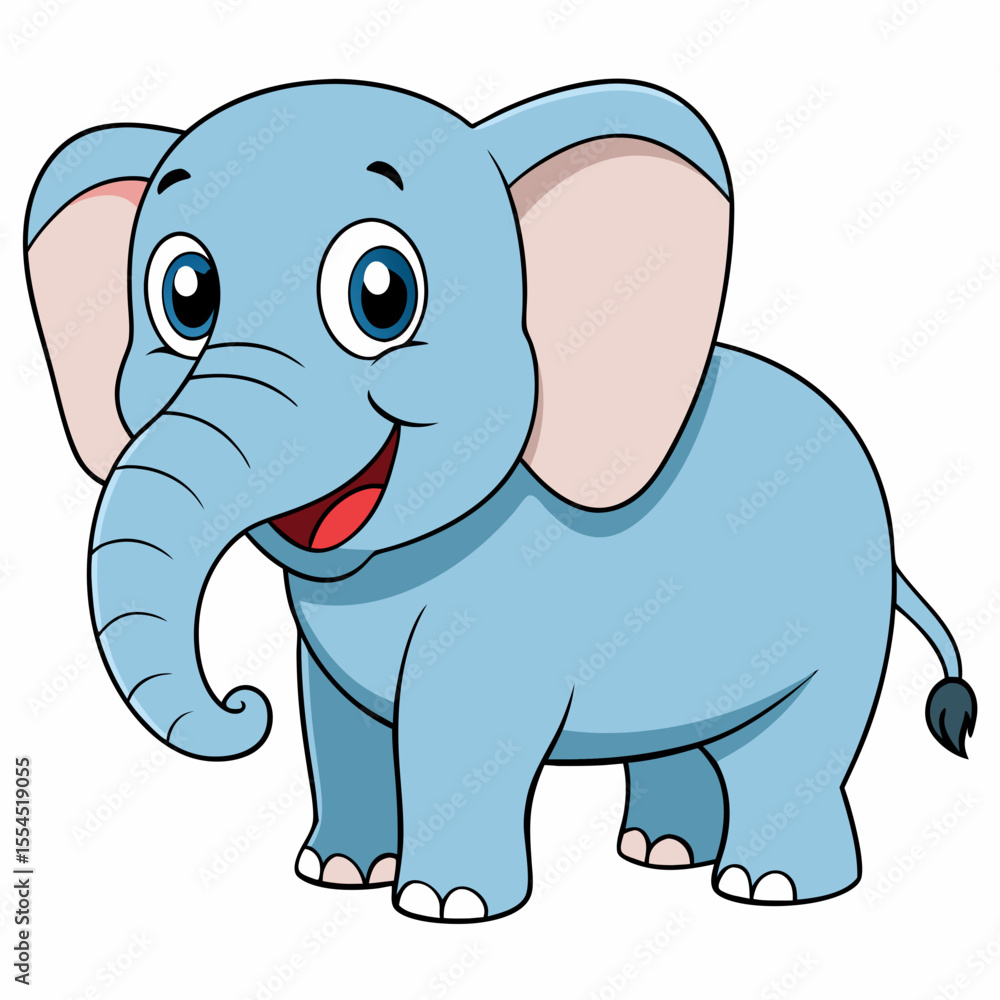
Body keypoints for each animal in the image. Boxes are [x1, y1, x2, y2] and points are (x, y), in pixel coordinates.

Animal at [25, 79, 977, 922]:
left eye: (382, 295)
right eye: (185, 296)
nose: (240, 704)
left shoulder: (505, 611)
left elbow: (462, 726)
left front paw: (444, 907)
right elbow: (335, 720)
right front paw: (338, 875)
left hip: (839, 610)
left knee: (795, 741)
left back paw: (769, 887)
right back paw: (662, 852)